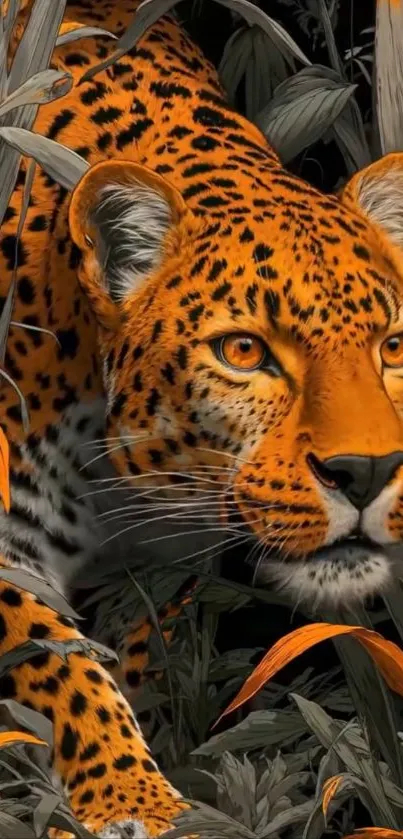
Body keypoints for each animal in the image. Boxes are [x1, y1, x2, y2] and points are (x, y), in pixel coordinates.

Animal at [2, 0, 403, 836]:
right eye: (243, 350)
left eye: (389, 345)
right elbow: (58, 657)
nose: (366, 472)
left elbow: (138, 656)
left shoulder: (162, 567)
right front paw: (134, 798)